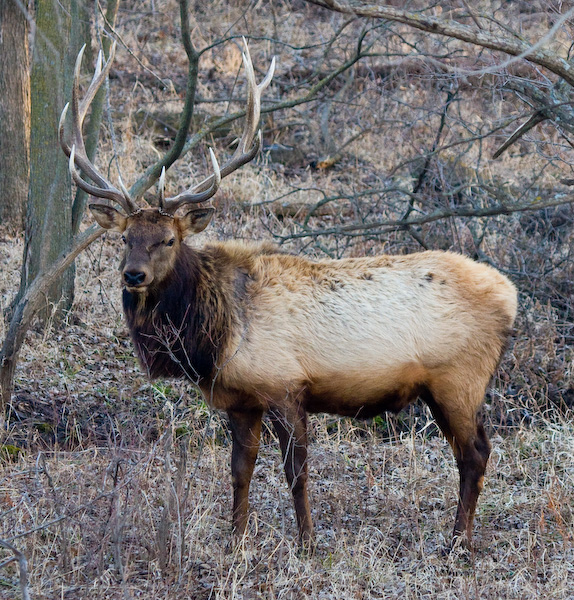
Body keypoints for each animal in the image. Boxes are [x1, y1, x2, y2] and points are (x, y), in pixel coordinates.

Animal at [60, 39, 520, 552]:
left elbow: (295, 472)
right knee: (476, 451)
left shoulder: (285, 385)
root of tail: (511, 294)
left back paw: (457, 541)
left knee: (476, 453)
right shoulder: (241, 400)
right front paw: (236, 541)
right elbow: (240, 471)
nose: (133, 276)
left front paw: (307, 543)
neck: (214, 337)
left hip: (459, 379)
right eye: (124, 238)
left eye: (168, 239)